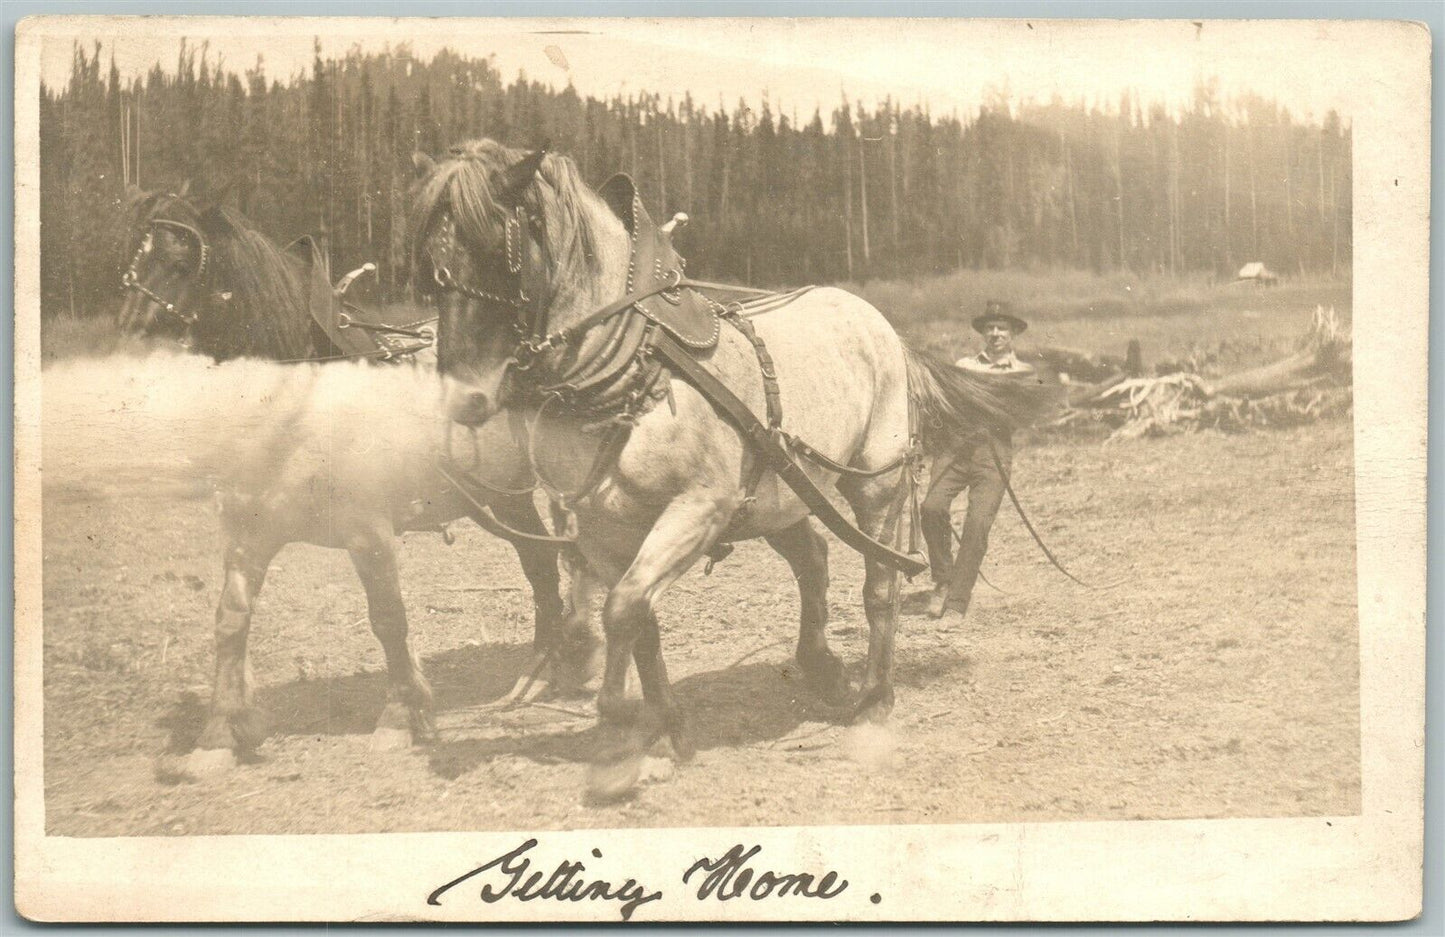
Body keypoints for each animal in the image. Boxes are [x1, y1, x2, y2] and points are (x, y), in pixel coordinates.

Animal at [117, 187, 592, 775]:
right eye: (131, 258)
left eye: (182, 260)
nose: (129, 357)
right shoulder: (248, 532)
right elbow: (230, 621)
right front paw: (218, 735)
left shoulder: (368, 530)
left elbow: (388, 618)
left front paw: (400, 717)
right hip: (499, 500)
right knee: (542, 564)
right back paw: (539, 673)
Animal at [413, 140, 1057, 798]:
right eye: (427, 262)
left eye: (497, 249)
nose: (463, 400)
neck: (632, 364)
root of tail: (882, 324)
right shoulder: (601, 528)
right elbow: (638, 617)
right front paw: (665, 730)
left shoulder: (698, 509)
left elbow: (623, 609)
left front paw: (616, 738)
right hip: (778, 491)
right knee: (813, 560)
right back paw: (822, 669)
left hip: (877, 481)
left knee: (880, 586)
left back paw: (875, 700)